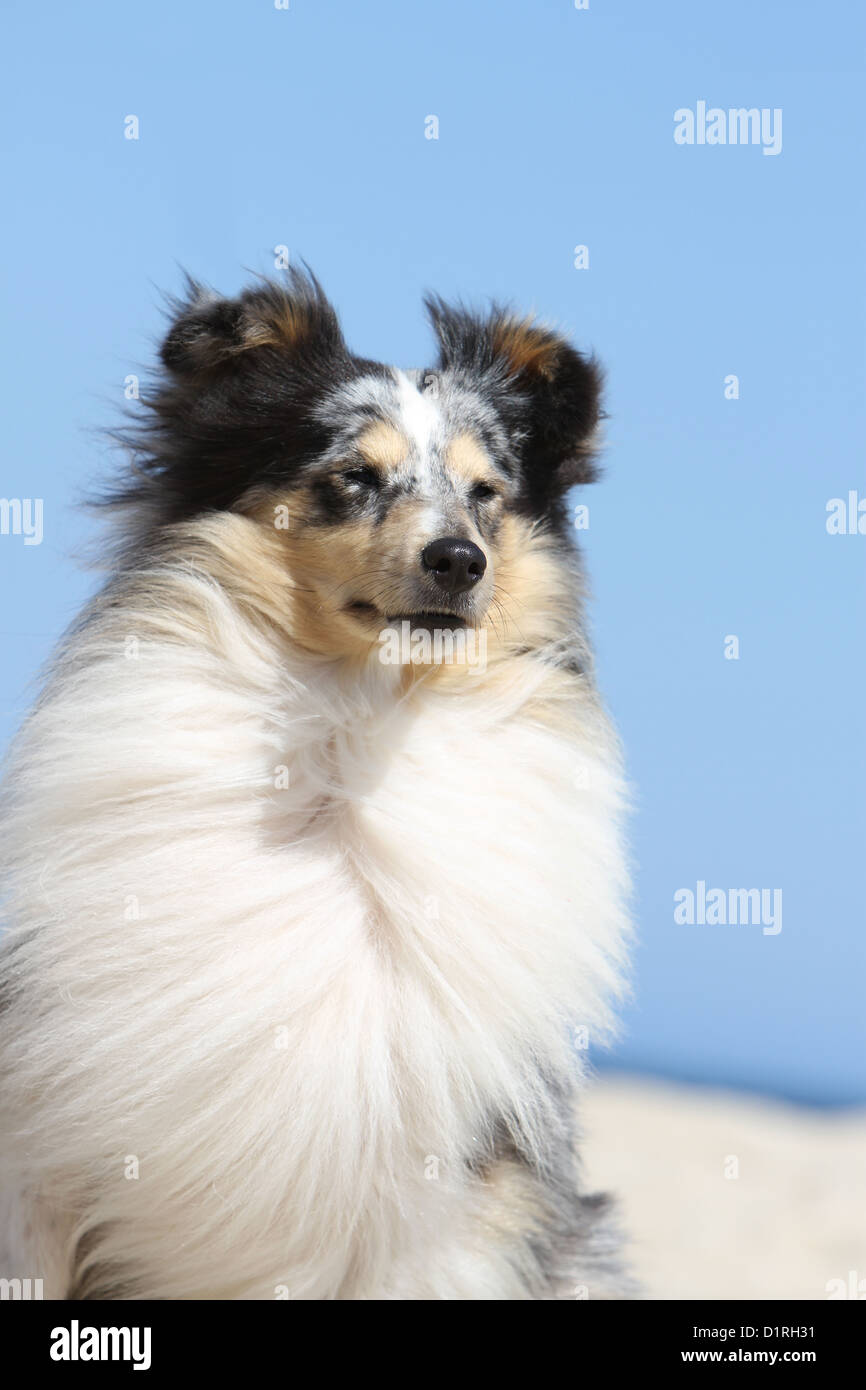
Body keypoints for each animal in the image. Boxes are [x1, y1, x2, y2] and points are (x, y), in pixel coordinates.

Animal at [0, 271, 631, 1301]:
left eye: (486, 494)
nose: (459, 562)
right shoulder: (39, 1155)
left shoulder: (437, 1215)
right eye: (354, 476)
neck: (352, 734)